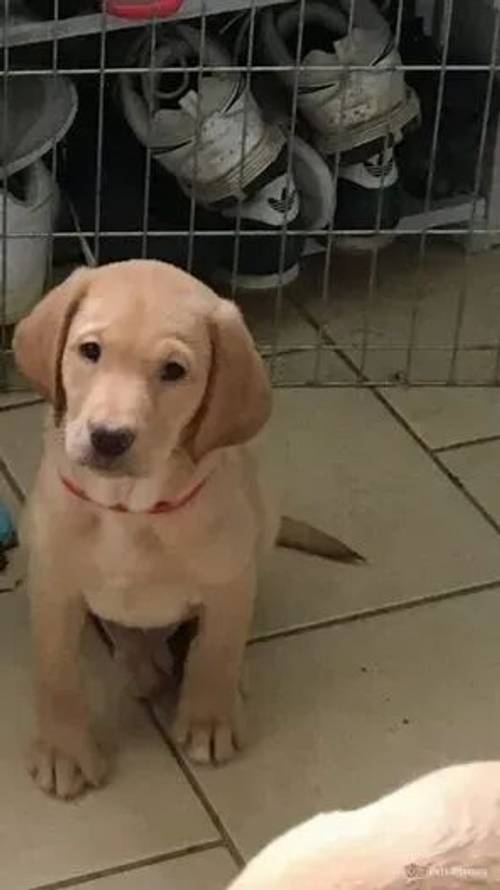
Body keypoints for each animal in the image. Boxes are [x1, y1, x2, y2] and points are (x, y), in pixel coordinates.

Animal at [14, 256, 360, 796]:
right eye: (90, 351)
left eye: (173, 371)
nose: (109, 437)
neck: (129, 510)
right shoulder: (54, 588)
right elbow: (56, 674)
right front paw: (63, 751)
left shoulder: (229, 582)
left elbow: (215, 650)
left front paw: (208, 719)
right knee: (125, 631)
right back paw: (139, 660)